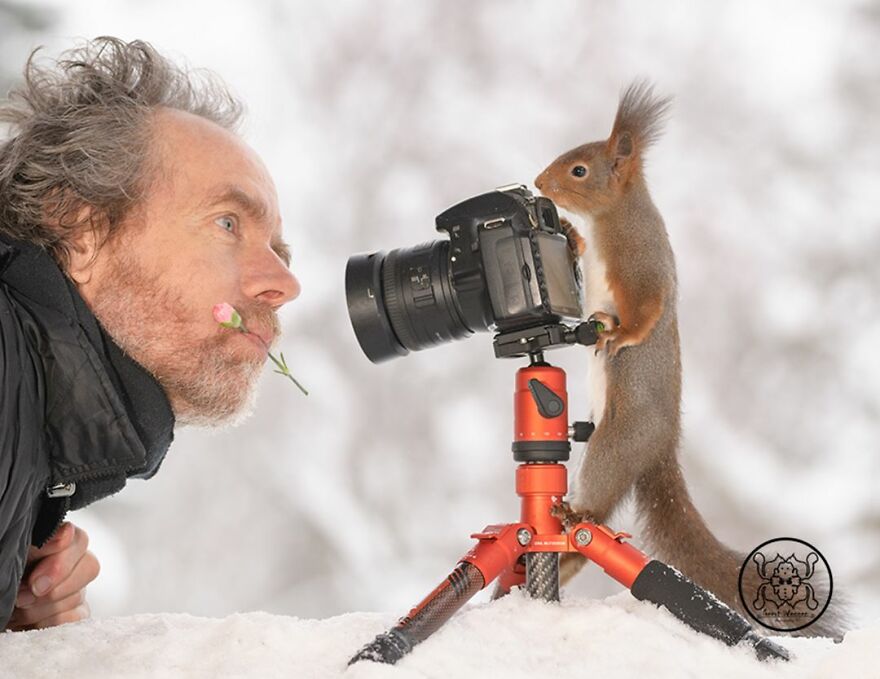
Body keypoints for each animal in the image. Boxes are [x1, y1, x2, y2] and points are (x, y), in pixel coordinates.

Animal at [534, 81, 845, 639]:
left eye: (579, 171)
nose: (538, 182)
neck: (616, 214)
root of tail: (661, 447)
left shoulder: (642, 260)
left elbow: (649, 306)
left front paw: (622, 336)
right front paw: (568, 233)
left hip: (617, 440)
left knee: (597, 514)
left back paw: (572, 516)